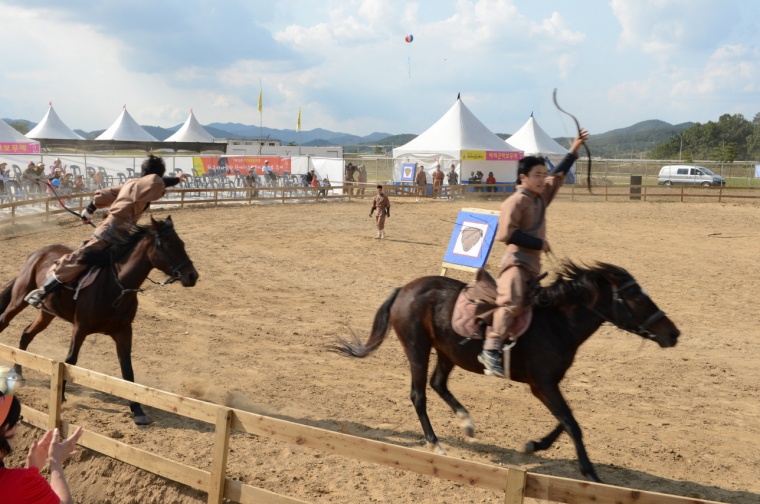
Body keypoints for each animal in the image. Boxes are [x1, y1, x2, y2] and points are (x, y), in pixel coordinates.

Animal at [0, 217, 199, 426]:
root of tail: (38, 253)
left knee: (26, 334)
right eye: (169, 245)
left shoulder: (123, 332)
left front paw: (137, 410)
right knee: (4, 321)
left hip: (47, 313)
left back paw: (19, 372)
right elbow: (70, 361)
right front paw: (61, 396)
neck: (115, 286)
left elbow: (127, 370)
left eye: (182, 243)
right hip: (18, 300)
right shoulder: (80, 328)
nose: (192, 275)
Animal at [336, 262, 680, 482]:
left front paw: (534, 445)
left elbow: (566, 421)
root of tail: (405, 288)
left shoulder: (549, 384)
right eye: (637, 298)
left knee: (438, 384)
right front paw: (590, 473)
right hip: (417, 349)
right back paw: (436, 444)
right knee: (419, 395)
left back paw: (467, 423)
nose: (674, 333)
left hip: (447, 351)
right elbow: (572, 423)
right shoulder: (542, 385)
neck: (556, 321)